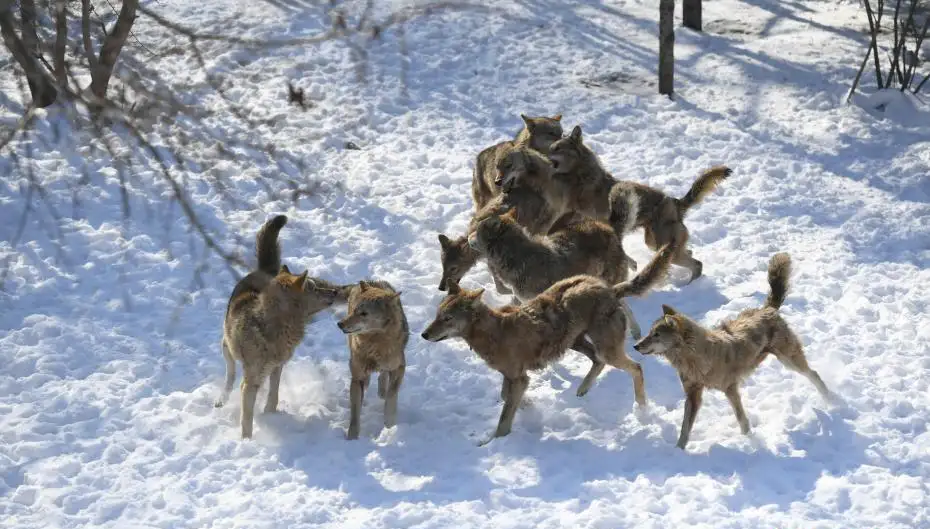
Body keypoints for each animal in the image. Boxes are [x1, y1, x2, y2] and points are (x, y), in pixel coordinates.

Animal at [218, 214, 340, 438]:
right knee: (230, 373)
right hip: (226, 347)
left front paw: (269, 415)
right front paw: (246, 441)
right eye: (313, 287)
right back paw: (221, 398)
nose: (335, 292)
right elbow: (246, 418)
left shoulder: (277, 366)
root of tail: (263, 270)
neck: (274, 327)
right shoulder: (250, 381)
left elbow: (273, 395)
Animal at [336, 278, 404, 440]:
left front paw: (389, 426)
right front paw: (352, 439)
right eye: (355, 310)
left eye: (364, 313)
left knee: (383, 376)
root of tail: (369, 280)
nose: (339, 324)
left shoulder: (399, 367)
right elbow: (355, 414)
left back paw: (381, 391)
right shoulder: (357, 378)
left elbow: (391, 396)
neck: (374, 343)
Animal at [420, 239, 676, 442]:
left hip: (604, 348)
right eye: (437, 315)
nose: (423, 334)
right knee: (598, 361)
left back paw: (641, 408)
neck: (495, 331)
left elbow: (504, 418)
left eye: (447, 319)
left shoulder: (518, 377)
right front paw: (529, 406)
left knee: (635, 367)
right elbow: (505, 397)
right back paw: (583, 390)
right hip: (574, 342)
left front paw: (494, 442)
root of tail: (609, 289)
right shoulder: (513, 376)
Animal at [544, 125, 732, 280]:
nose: (544, 157)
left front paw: (631, 264)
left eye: (557, 149)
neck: (580, 175)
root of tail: (676, 203)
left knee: (697, 264)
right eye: (551, 148)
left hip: (660, 243)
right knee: (689, 253)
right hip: (654, 243)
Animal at [632, 253, 832, 450]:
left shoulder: (730, 389)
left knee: (813, 374)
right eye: (649, 333)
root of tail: (767, 309)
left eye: (656, 335)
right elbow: (685, 428)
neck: (695, 358)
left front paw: (751, 442)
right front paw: (678, 451)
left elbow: (742, 420)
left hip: (789, 360)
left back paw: (831, 400)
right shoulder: (692, 395)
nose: (635, 346)